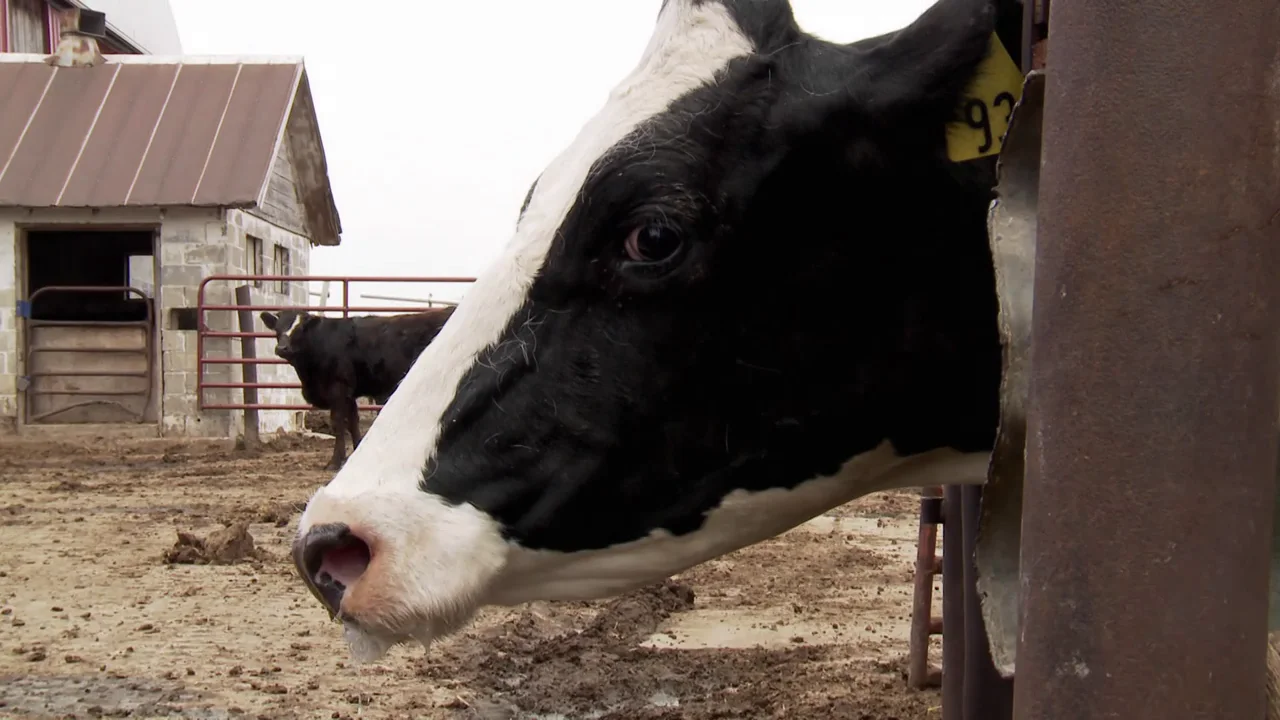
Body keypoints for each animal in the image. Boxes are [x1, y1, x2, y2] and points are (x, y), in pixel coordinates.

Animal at [260, 307, 456, 470]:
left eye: (299, 329)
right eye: (277, 329)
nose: (282, 348)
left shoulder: (338, 388)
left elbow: (338, 422)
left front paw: (335, 462)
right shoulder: (350, 393)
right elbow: (353, 421)